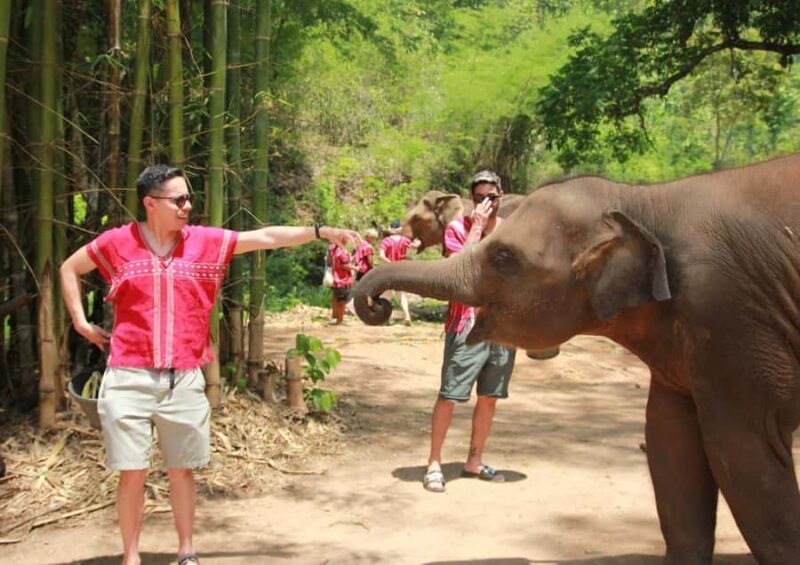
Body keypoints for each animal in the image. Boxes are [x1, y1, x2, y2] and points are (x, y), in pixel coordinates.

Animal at [355, 153, 800, 564]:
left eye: (503, 257)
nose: (377, 304)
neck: (642, 203)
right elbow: (669, 441)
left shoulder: (726, 313)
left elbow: (743, 456)